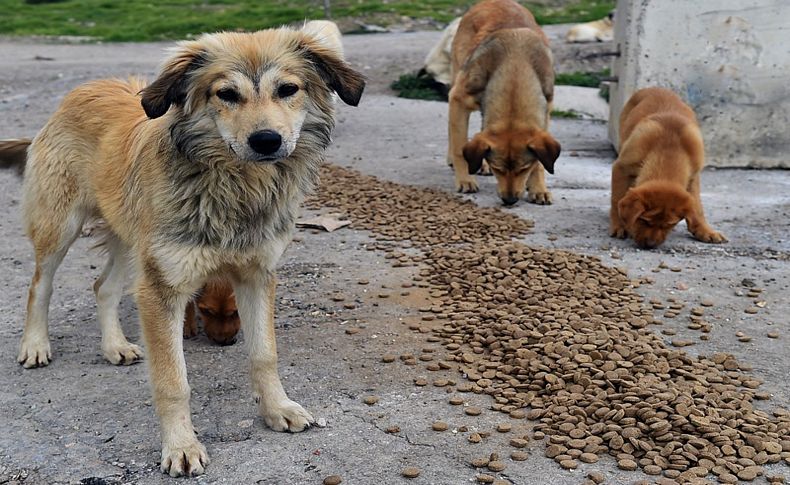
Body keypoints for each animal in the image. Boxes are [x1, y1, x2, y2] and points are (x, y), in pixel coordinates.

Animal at [8, 25, 366, 472]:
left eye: (288, 89)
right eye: (226, 94)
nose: (267, 140)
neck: (236, 188)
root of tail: (85, 87)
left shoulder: (256, 275)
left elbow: (264, 354)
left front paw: (277, 408)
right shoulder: (162, 288)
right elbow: (173, 381)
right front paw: (180, 445)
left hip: (130, 238)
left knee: (103, 287)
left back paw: (114, 347)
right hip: (61, 225)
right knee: (39, 285)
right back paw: (35, 345)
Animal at [446, 0, 564, 204]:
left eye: (523, 169)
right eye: (498, 169)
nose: (510, 200)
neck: (515, 69)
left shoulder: (546, 110)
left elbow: (539, 163)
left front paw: (538, 188)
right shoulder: (458, 100)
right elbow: (460, 148)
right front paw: (465, 179)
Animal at [612, 86, 732, 250]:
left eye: (669, 224)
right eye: (644, 220)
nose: (650, 245)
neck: (669, 149)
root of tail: (654, 87)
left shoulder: (693, 177)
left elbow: (698, 208)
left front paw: (705, 230)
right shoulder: (621, 168)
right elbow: (616, 198)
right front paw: (619, 225)